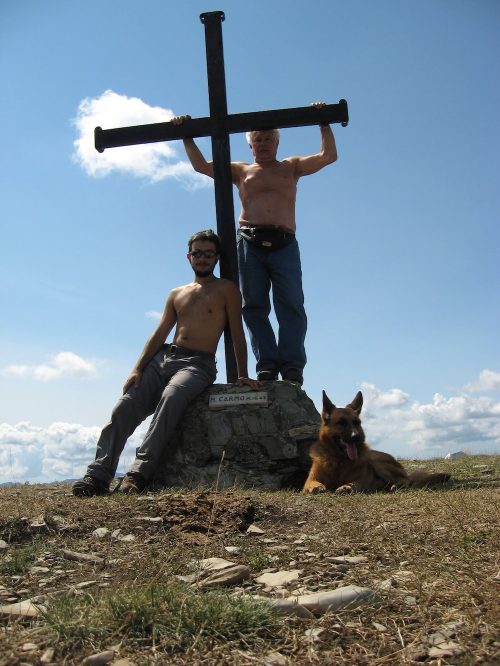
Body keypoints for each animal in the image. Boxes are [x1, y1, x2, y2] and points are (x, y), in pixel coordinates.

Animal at [302, 390, 452, 492]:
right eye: (341, 423)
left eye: (357, 423)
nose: (356, 437)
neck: (339, 460)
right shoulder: (308, 482)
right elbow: (312, 483)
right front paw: (318, 487)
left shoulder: (362, 480)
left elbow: (356, 483)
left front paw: (347, 487)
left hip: (376, 461)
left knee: (406, 480)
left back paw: (397, 485)